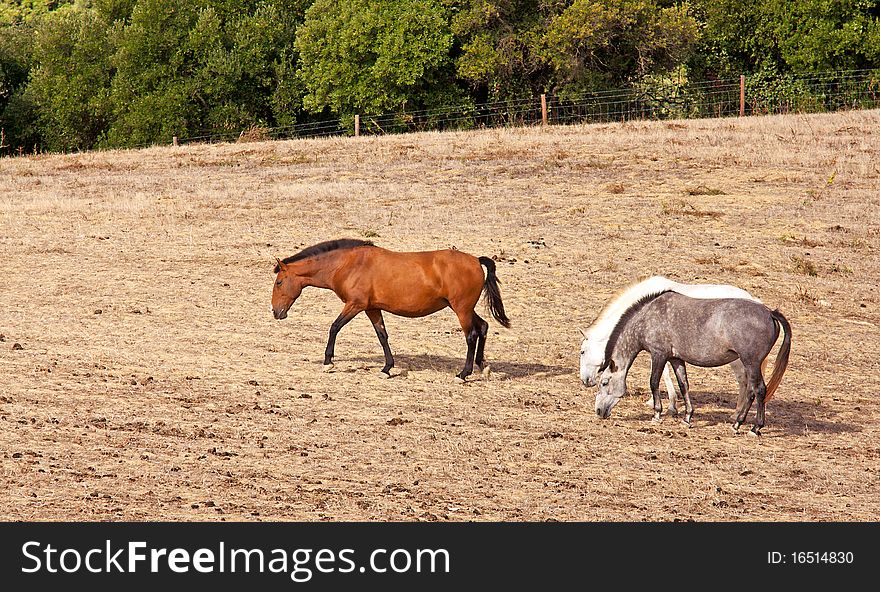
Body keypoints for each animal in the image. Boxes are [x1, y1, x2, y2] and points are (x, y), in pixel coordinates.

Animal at [272, 237, 512, 380]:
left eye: (279, 282)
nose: (276, 312)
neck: (348, 264)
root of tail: (475, 261)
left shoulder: (355, 305)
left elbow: (334, 327)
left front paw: (328, 362)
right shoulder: (372, 308)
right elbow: (382, 335)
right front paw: (387, 368)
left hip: (461, 309)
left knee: (471, 335)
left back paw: (463, 373)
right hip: (464, 308)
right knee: (483, 327)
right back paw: (483, 366)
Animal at [600, 292, 792, 434]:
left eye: (604, 382)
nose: (599, 411)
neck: (648, 318)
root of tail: (769, 312)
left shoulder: (659, 355)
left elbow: (654, 383)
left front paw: (656, 414)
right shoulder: (676, 359)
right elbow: (683, 385)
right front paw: (687, 418)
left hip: (751, 362)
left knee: (759, 390)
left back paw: (755, 427)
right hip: (750, 364)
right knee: (752, 391)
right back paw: (737, 424)